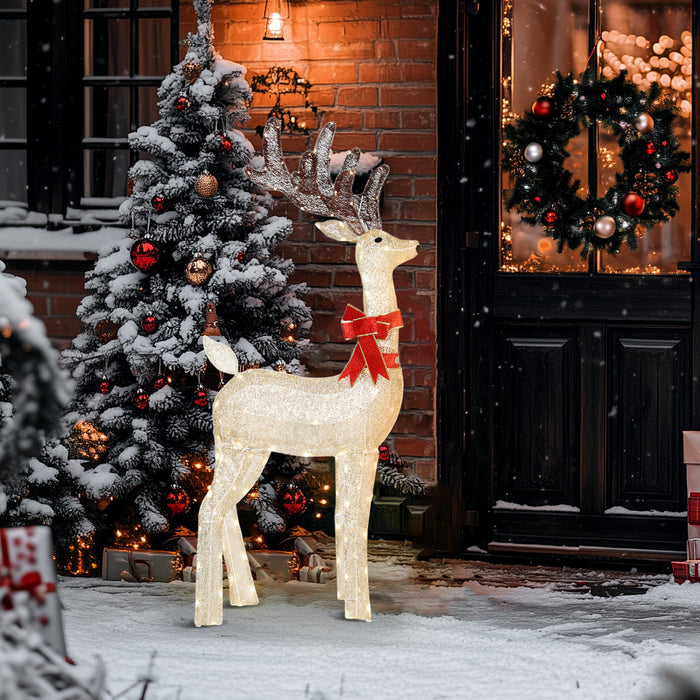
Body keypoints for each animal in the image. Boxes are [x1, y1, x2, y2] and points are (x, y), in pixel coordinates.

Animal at [194, 118, 420, 626]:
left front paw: (347, 598)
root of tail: (229, 379)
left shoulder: (350, 451)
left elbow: (342, 520)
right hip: (239, 446)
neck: (369, 376)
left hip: (243, 449)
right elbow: (354, 523)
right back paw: (208, 614)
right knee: (208, 508)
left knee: (225, 509)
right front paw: (360, 610)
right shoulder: (359, 447)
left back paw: (245, 597)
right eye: (378, 239)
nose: (414, 243)